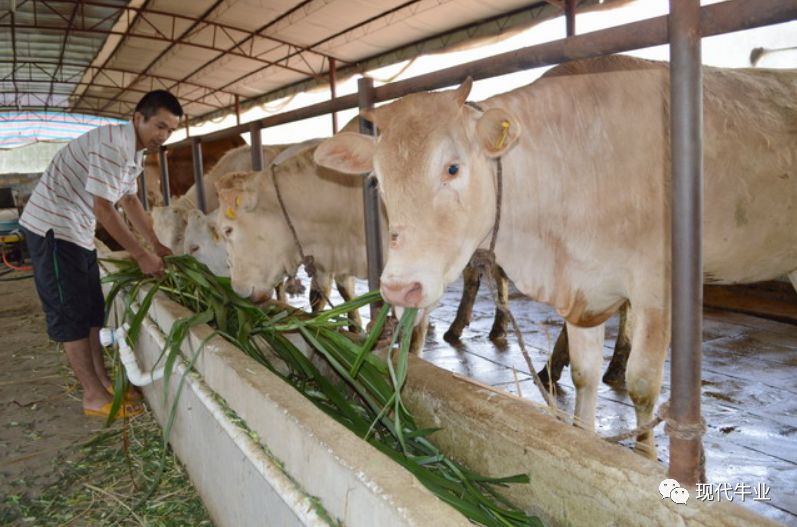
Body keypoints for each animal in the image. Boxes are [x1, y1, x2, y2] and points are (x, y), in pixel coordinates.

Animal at [312, 56, 796, 454]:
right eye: (378, 179)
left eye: (452, 167)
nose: (399, 288)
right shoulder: (585, 288)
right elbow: (583, 374)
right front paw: (584, 435)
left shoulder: (656, 288)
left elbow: (642, 386)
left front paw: (646, 459)